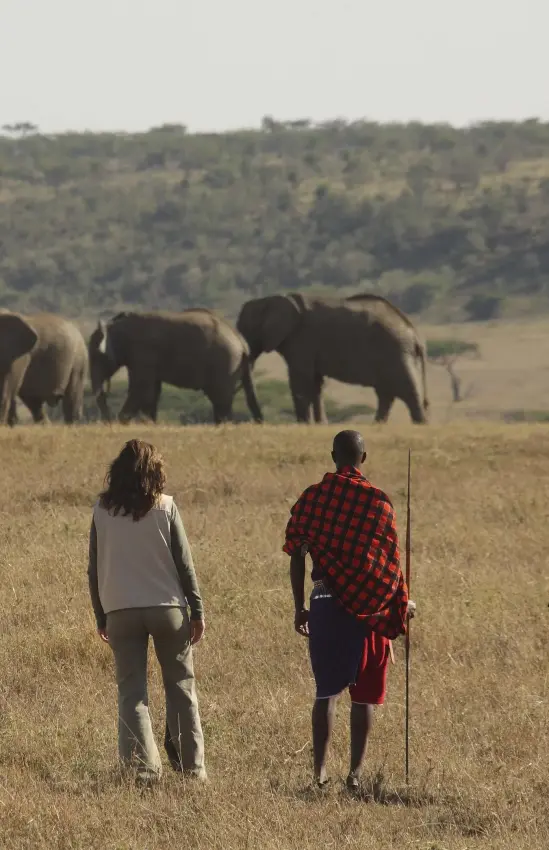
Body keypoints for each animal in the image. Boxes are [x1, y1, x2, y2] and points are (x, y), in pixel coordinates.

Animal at [88, 309, 264, 425]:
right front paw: (149, 424)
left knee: (221, 401)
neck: (115, 326)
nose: (107, 421)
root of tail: (242, 343)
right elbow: (152, 391)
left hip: (225, 363)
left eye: (97, 356)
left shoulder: (143, 353)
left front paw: (122, 422)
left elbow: (142, 388)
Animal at [236, 293, 429, 424]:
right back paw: (377, 426)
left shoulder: (302, 340)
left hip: (396, 352)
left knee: (407, 392)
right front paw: (320, 425)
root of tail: (415, 334)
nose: (261, 421)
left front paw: (303, 424)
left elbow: (300, 380)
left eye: (246, 330)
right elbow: (315, 383)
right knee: (386, 394)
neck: (269, 300)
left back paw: (420, 425)